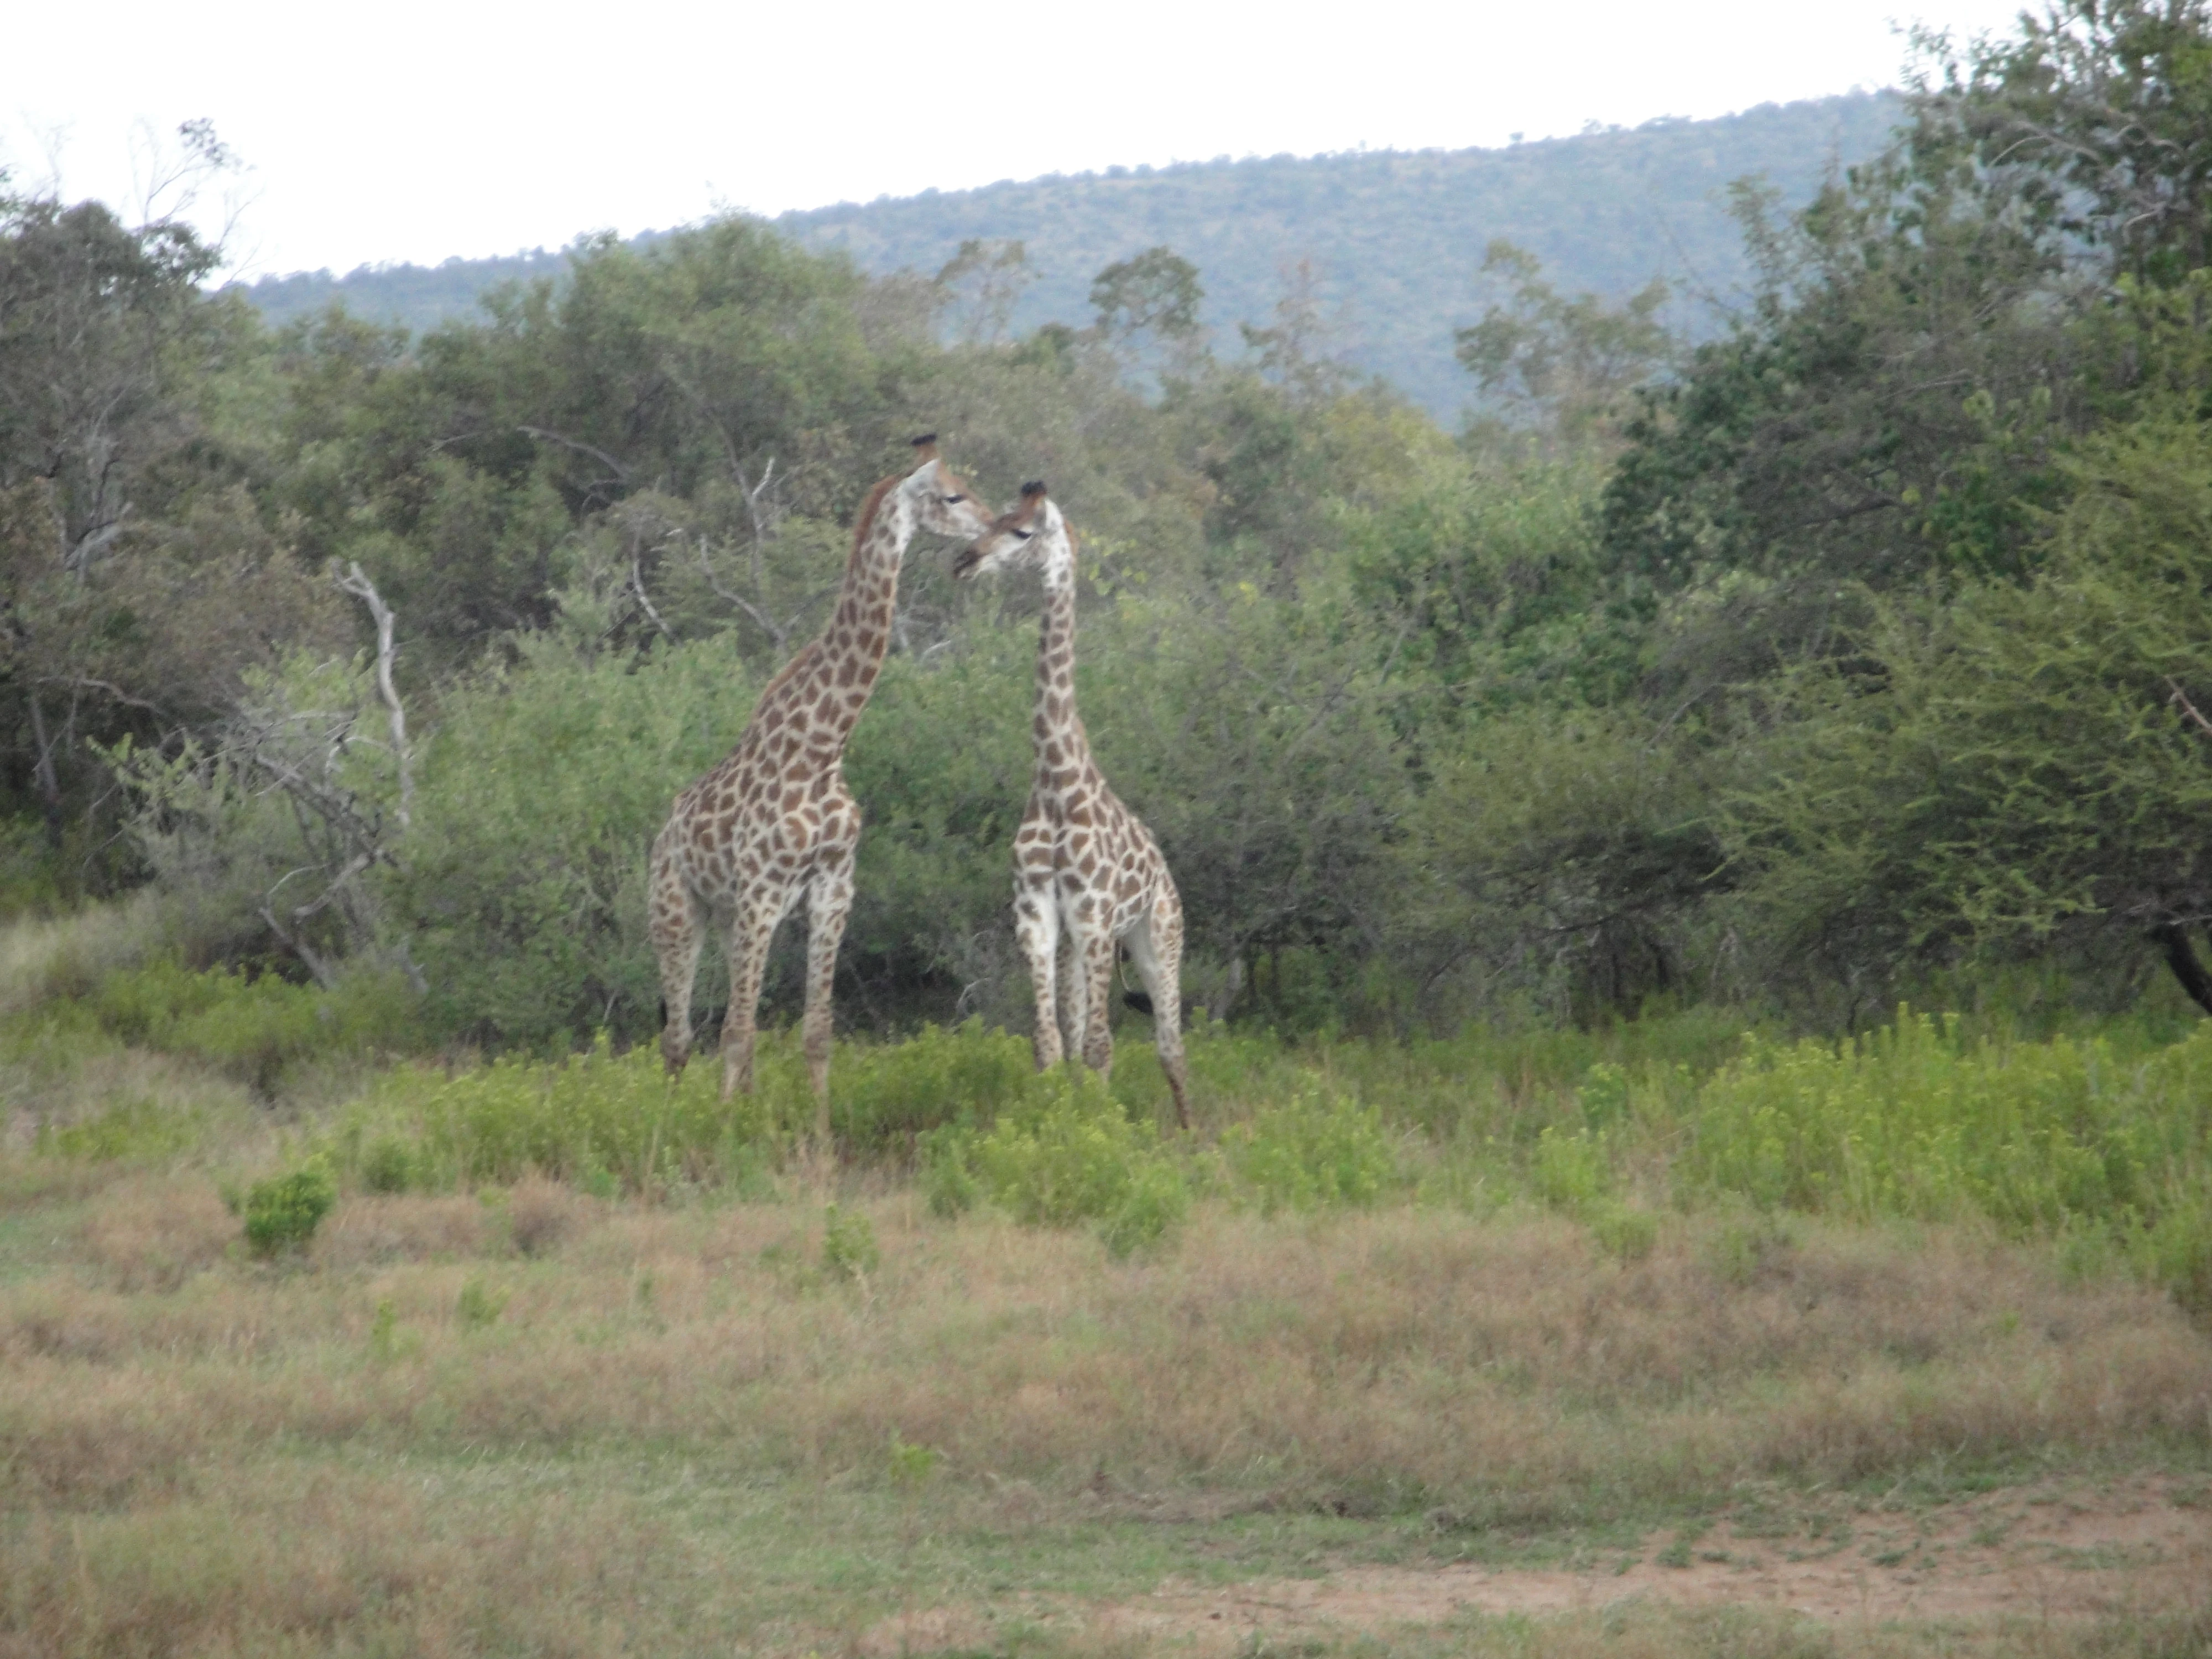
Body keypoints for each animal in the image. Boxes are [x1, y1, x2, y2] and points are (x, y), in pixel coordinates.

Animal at [649, 435, 993, 1135]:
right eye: (952, 496)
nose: (992, 528)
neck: (823, 749)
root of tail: (662, 833)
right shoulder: (762, 889)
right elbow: (735, 1032)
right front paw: (724, 1135)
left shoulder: (833, 889)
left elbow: (814, 1031)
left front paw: (818, 1135)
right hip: (677, 912)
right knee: (679, 1037)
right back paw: (671, 1129)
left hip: (728, 917)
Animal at [952, 482, 1192, 1128]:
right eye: (992, 520)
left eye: (1021, 532)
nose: (964, 560)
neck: (1056, 782)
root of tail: (1166, 872)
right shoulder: (1037, 913)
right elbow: (1051, 1042)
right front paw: (1054, 1125)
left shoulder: (1094, 913)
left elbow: (1101, 1046)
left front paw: (1098, 1133)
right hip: (1089, 944)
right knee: (1084, 1026)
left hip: (1157, 937)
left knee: (1171, 1046)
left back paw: (1191, 1137)